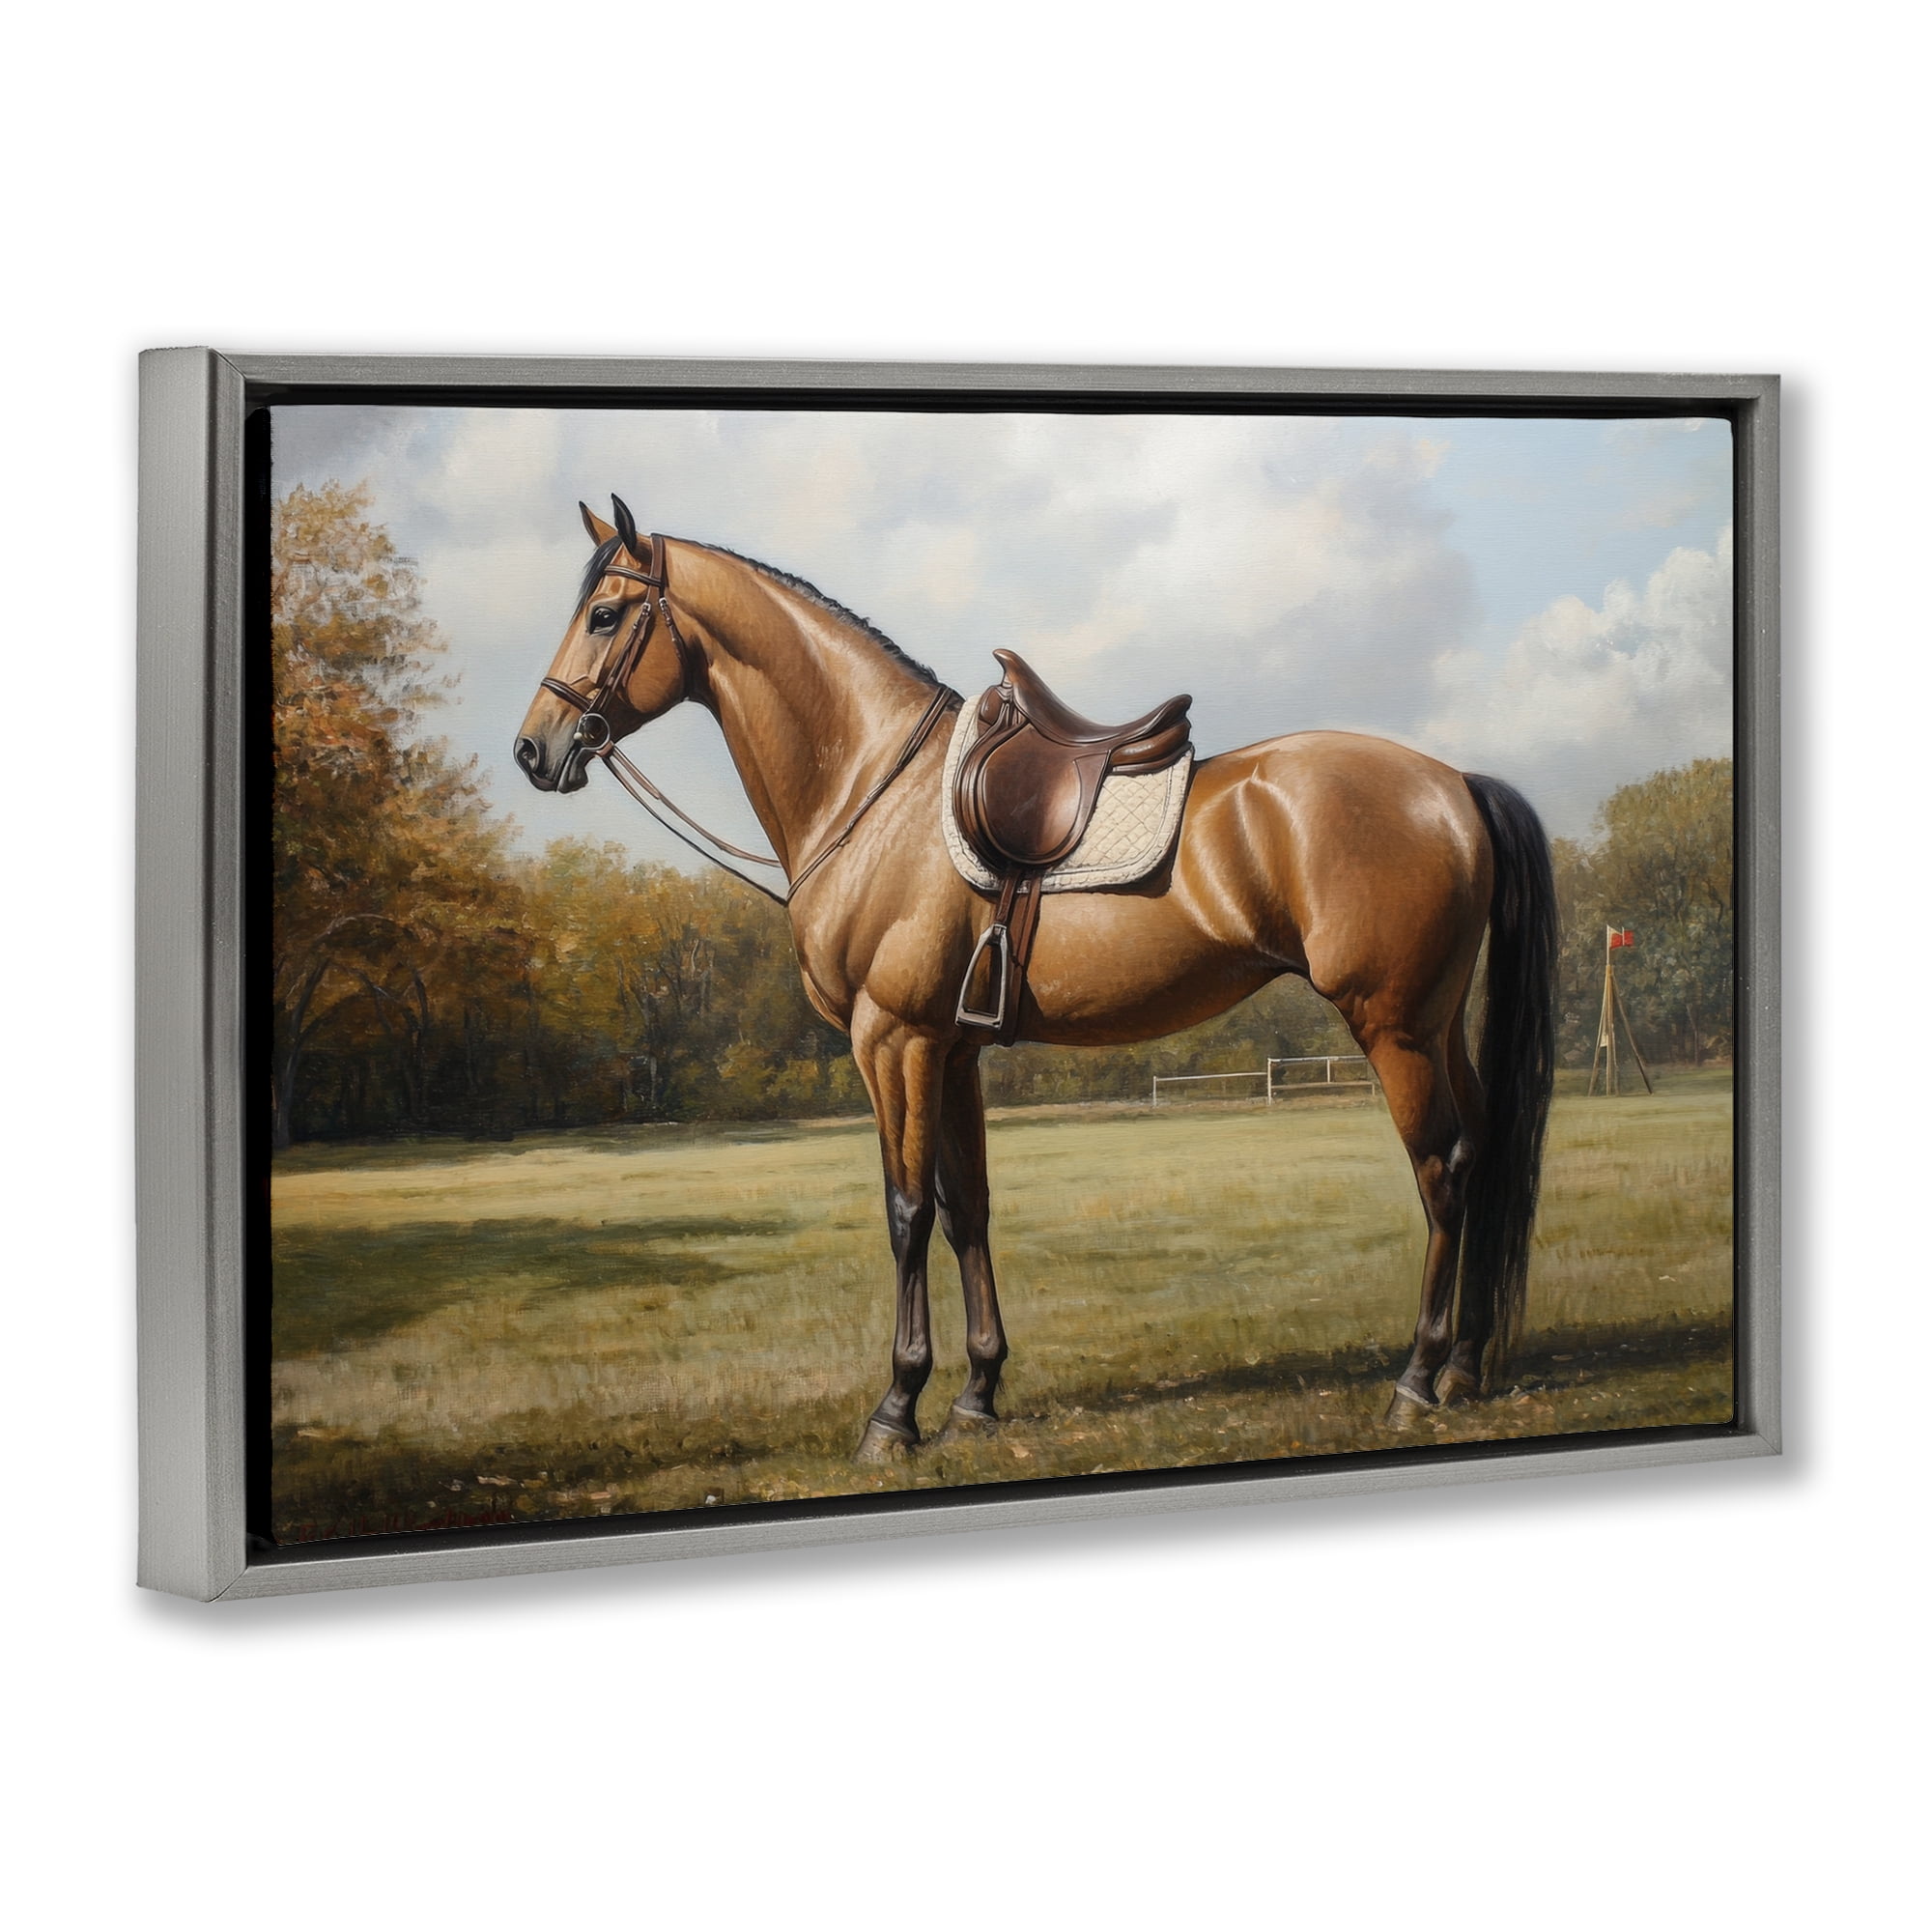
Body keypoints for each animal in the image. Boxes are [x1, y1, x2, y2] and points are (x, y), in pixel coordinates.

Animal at [515, 500, 1557, 1461]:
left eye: (604, 614)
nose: (535, 748)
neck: (873, 793)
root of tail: (1453, 784)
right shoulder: (951, 1052)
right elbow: (965, 1209)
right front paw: (976, 1395)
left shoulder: (891, 1040)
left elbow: (905, 1213)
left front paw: (895, 1411)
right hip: (1437, 1026)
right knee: (1483, 1149)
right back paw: (1465, 1366)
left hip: (1392, 1028)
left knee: (1441, 1168)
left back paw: (1416, 1379)